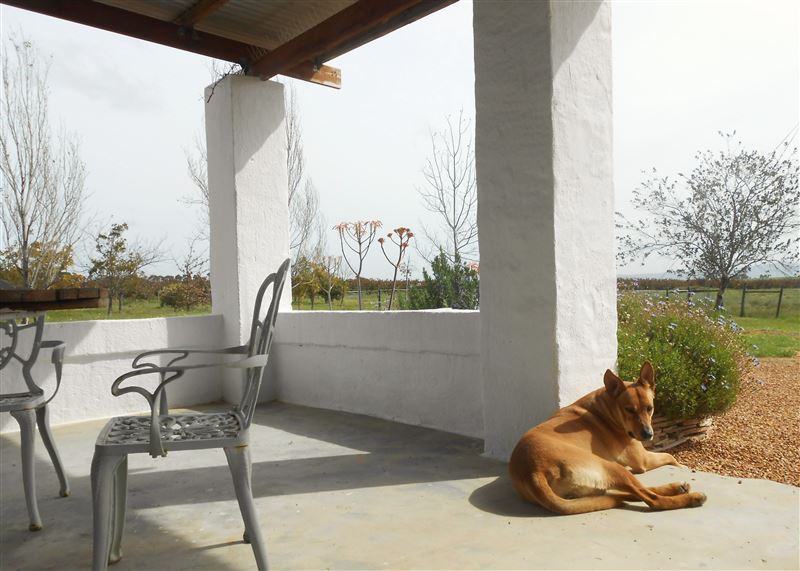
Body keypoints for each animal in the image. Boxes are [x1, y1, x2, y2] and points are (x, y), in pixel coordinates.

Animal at [508, 361, 706, 514]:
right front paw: (681, 466)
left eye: (649, 408)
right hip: (612, 468)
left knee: (633, 492)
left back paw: (675, 488)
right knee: (652, 499)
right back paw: (691, 498)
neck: (606, 408)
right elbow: (669, 456)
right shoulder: (643, 460)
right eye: (629, 410)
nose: (648, 434)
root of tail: (533, 472)